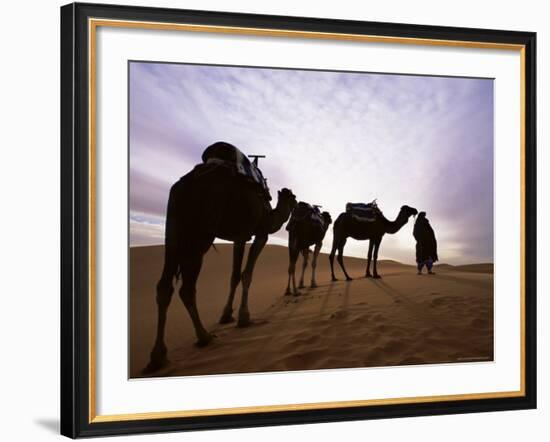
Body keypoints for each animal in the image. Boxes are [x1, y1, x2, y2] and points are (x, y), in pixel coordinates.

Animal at [144, 142, 296, 372]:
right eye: (292, 197)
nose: (296, 203)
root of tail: (185, 184)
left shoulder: (239, 236)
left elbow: (234, 275)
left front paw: (226, 315)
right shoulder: (260, 234)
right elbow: (247, 274)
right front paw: (244, 317)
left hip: (173, 229)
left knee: (164, 286)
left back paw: (158, 356)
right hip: (201, 232)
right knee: (187, 288)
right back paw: (203, 336)